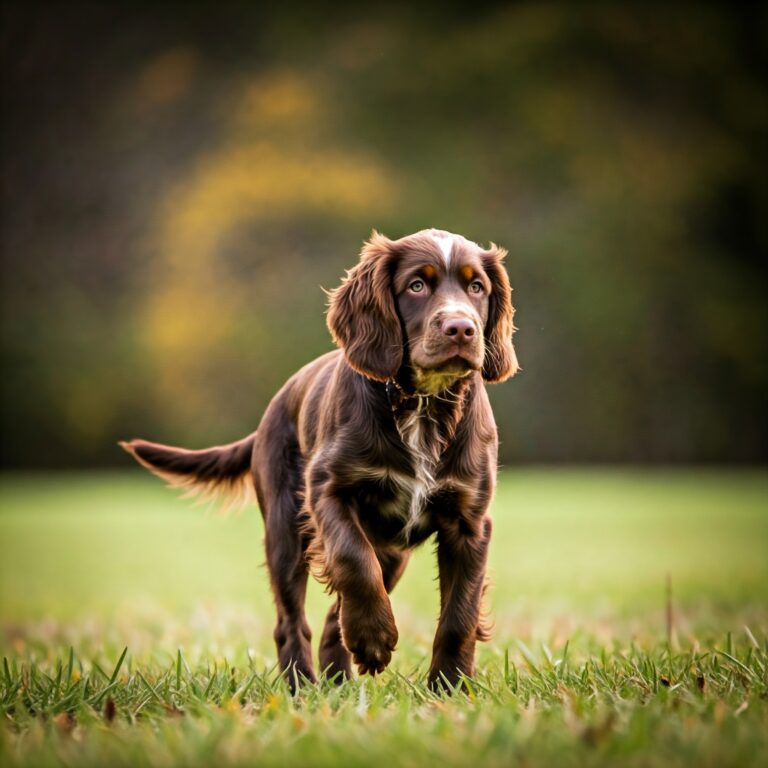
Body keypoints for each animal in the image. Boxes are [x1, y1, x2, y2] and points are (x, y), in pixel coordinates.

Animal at [121, 228, 516, 688]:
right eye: (417, 285)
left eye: (477, 288)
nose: (461, 329)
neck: (420, 404)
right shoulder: (327, 489)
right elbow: (352, 560)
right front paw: (375, 639)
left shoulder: (469, 520)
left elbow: (459, 612)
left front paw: (449, 685)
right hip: (285, 528)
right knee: (291, 619)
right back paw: (302, 683)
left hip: (392, 552)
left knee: (334, 614)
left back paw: (338, 677)